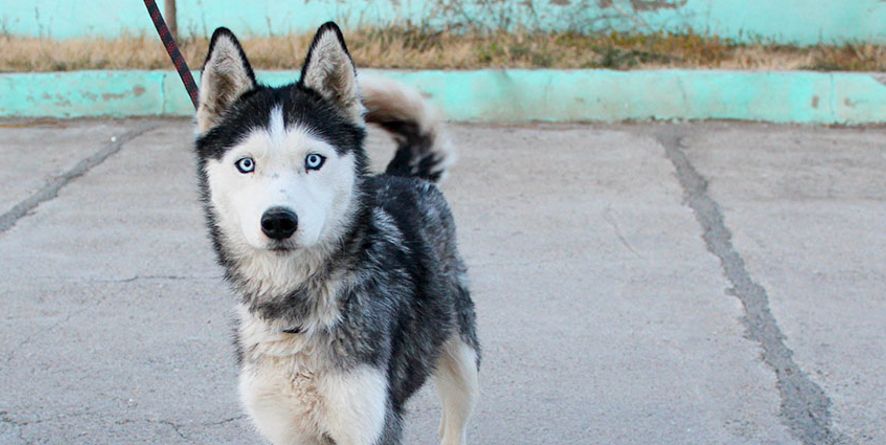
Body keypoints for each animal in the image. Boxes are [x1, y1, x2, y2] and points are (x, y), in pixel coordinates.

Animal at [193, 23, 482, 444]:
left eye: (314, 160)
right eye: (246, 164)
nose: (278, 221)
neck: (295, 314)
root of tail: (401, 176)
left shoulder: (371, 424)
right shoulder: (284, 428)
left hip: (462, 364)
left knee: (452, 425)